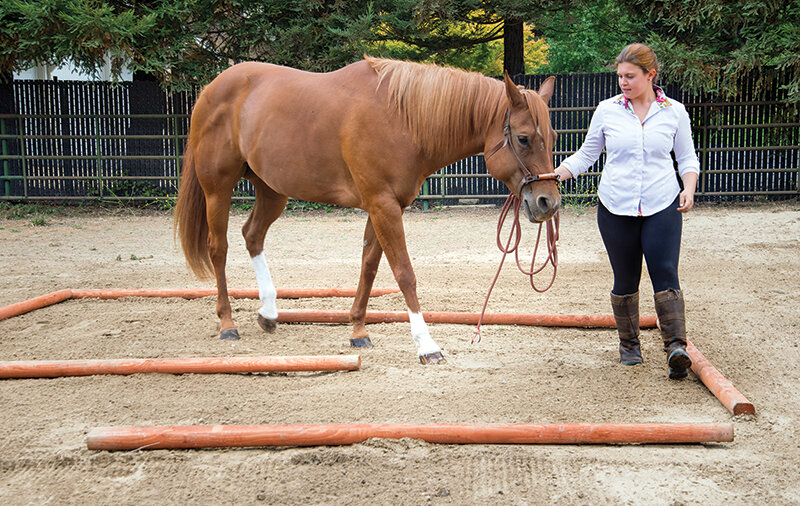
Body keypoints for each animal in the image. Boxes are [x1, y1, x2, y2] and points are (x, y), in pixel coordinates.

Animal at [173, 55, 564, 364]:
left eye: (554, 138)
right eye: (523, 138)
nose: (548, 202)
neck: (403, 119)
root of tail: (209, 90)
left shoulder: (387, 207)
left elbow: (370, 266)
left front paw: (358, 330)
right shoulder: (382, 204)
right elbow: (404, 273)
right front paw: (427, 346)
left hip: (272, 191)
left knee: (252, 236)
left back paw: (269, 313)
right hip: (218, 189)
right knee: (219, 249)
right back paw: (227, 323)